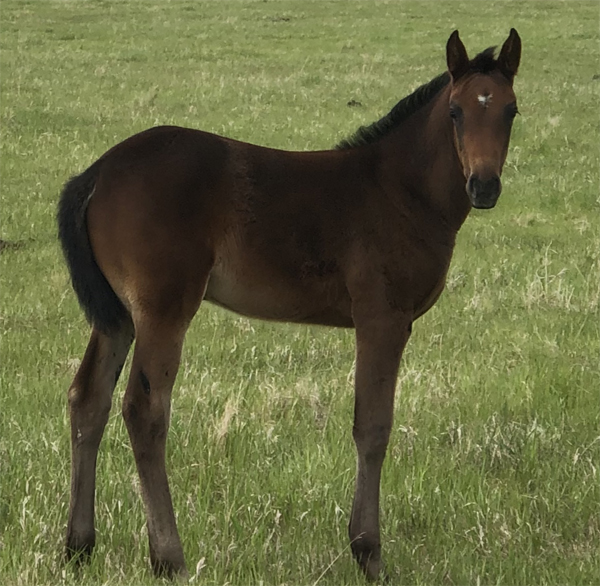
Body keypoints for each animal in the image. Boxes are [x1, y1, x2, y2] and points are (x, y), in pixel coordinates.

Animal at [58, 29, 521, 580]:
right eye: (455, 111)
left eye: (511, 111)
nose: (484, 186)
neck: (399, 189)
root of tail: (96, 174)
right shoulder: (383, 318)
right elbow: (373, 426)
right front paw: (368, 552)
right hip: (162, 309)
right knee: (143, 410)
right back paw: (169, 557)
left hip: (119, 317)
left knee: (89, 399)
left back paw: (78, 545)